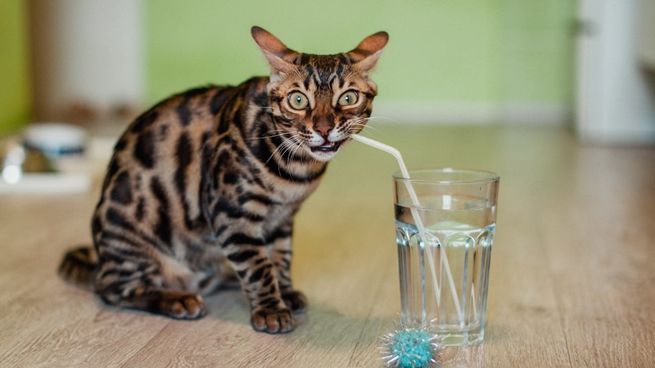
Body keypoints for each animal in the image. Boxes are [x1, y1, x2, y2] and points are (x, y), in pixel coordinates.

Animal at [59, 25, 386, 334]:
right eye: (297, 100)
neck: (296, 170)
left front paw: (285, 291)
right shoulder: (232, 212)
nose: (323, 129)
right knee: (112, 288)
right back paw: (176, 299)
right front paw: (270, 309)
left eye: (348, 97)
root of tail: (100, 259)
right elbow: (258, 266)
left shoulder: (282, 219)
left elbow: (280, 257)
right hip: (132, 238)